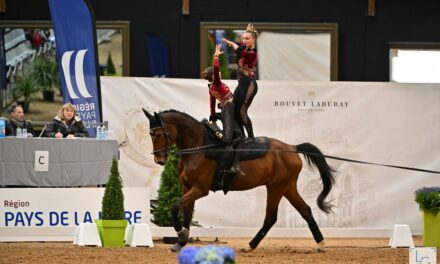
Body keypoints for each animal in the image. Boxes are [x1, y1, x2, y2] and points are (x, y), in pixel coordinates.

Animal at [143, 109, 336, 252]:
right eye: (150, 134)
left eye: (158, 134)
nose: (159, 159)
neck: (200, 147)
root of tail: (292, 148)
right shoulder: (187, 187)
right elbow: (187, 214)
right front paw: (181, 241)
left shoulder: (199, 189)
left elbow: (175, 207)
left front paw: (180, 234)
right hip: (287, 188)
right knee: (305, 211)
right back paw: (320, 244)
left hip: (276, 188)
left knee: (271, 218)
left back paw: (250, 246)